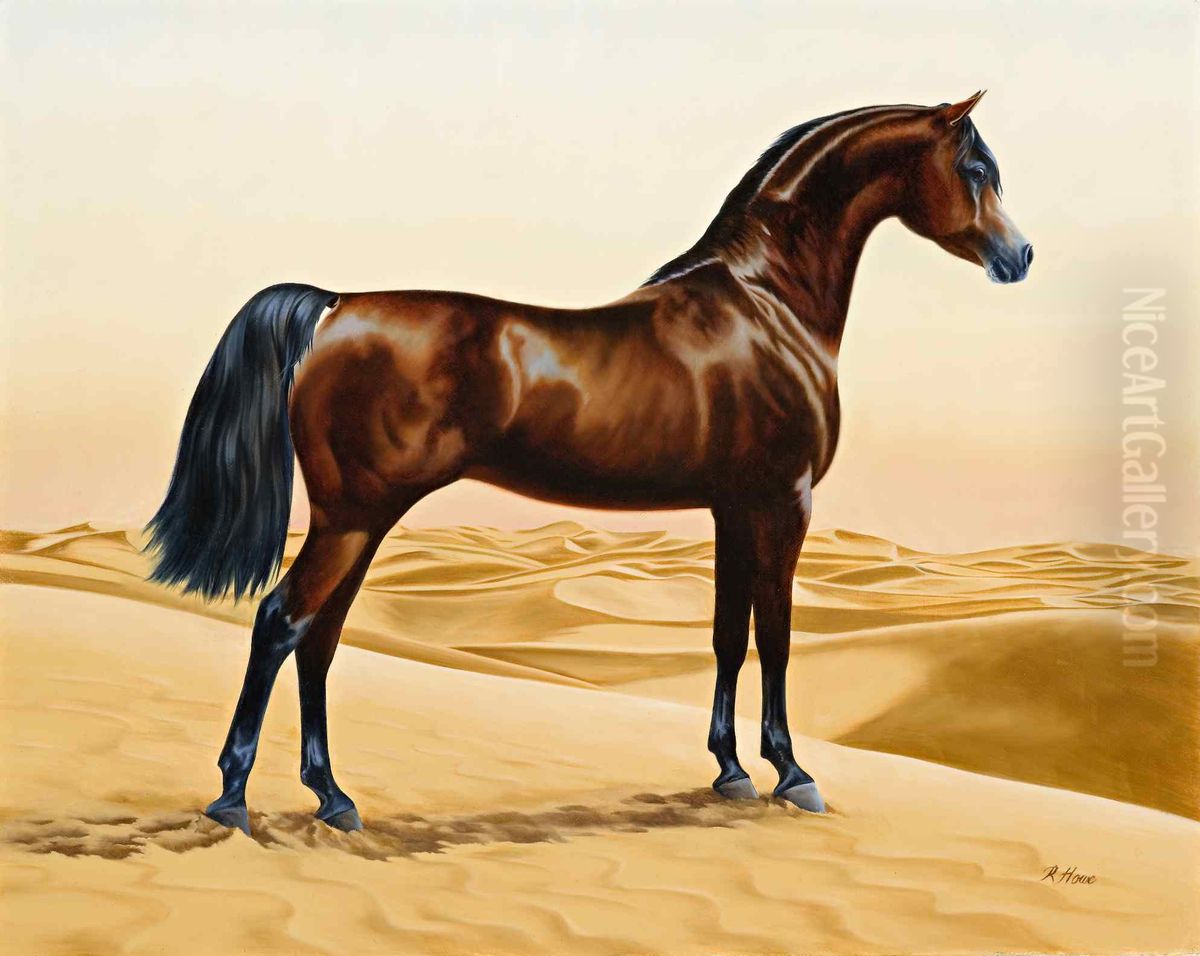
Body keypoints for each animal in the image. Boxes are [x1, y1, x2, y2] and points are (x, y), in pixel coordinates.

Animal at [146, 91, 1031, 835]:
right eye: (975, 169)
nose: (1018, 257)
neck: (767, 302)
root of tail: (335, 306)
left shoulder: (732, 505)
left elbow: (728, 635)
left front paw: (731, 771)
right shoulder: (785, 501)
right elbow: (777, 637)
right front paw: (791, 773)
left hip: (355, 520)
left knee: (320, 638)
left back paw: (332, 798)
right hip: (356, 516)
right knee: (281, 622)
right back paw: (233, 798)